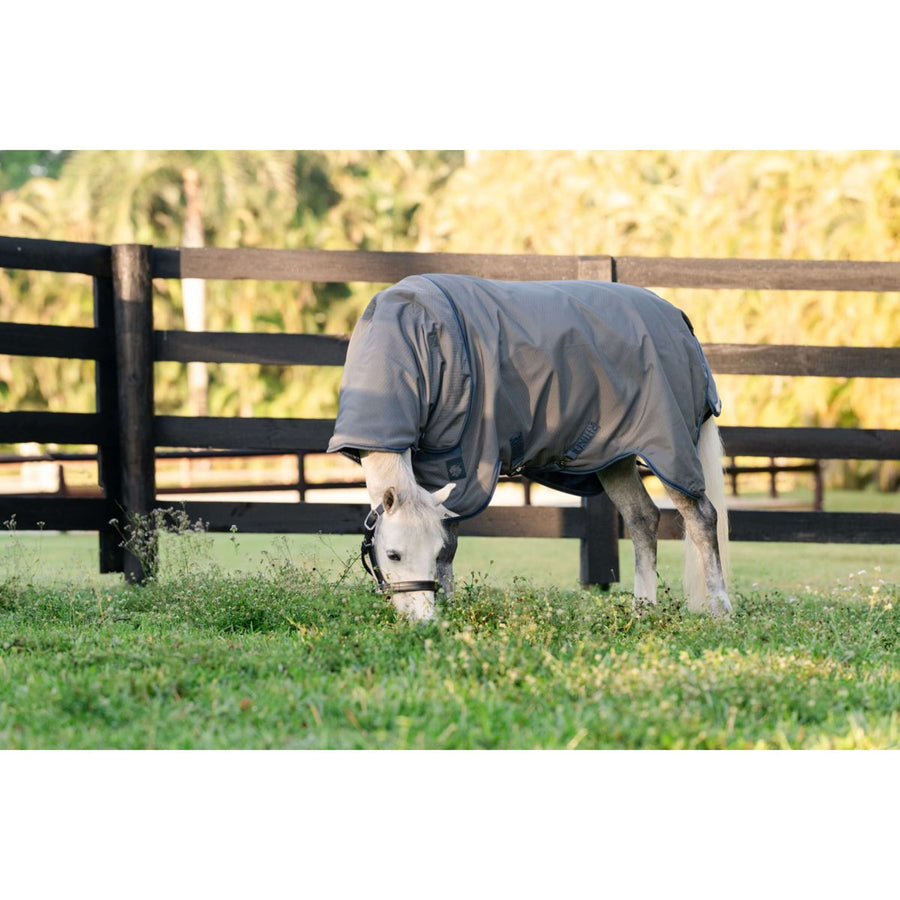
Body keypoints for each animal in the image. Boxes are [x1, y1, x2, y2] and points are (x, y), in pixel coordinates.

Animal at [328, 274, 731, 623]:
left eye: (428, 550)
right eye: (393, 554)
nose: (422, 620)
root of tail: (679, 320)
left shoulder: (461, 459)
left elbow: (452, 540)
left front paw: (452, 606)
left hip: (669, 447)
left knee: (702, 518)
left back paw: (719, 610)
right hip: (615, 455)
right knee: (642, 519)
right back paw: (642, 610)